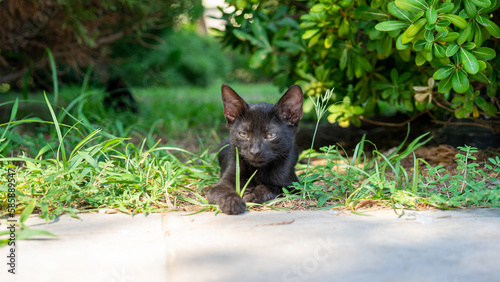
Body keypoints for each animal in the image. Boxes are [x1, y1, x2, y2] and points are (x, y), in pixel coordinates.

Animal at [206, 83, 302, 214]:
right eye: (243, 134)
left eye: (271, 135)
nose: (254, 152)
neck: (257, 170)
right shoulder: (222, 183)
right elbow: (222, 191)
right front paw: (232, 202)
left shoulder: (293, 185)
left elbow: (272, 187)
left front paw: (253, 194)